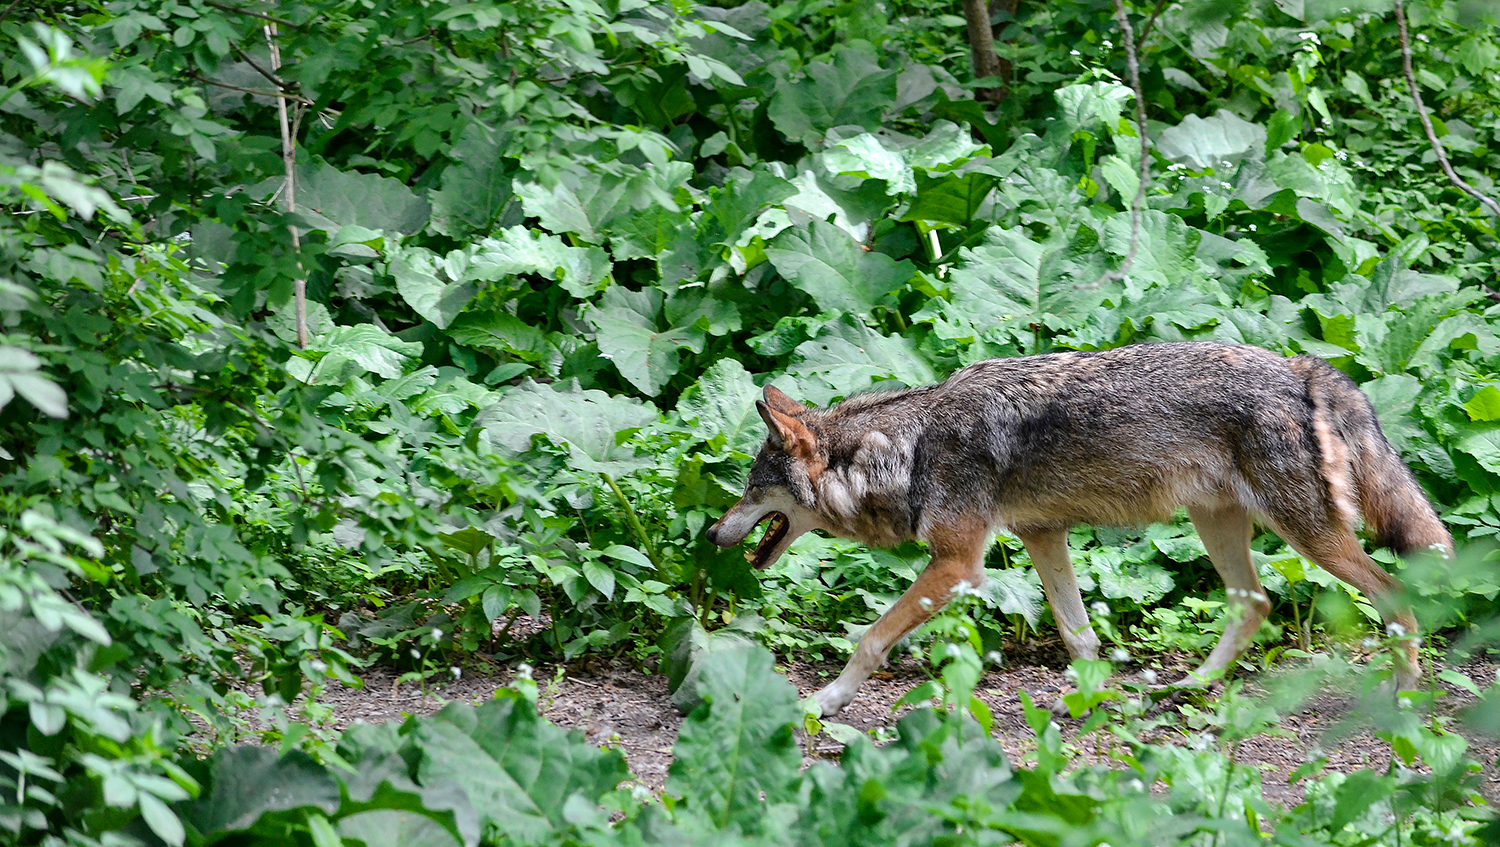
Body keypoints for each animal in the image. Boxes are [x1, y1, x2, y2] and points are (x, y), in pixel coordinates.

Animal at [705, 341, 1452, 713]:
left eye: (751, 490)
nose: (712, 536)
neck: (908, 449)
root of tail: (1302, 367)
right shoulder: (1043, 536)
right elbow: (1078, 633)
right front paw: (1089, 699)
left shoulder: (958, 565)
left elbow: (868, 638)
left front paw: (826, 700)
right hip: (1220, 526)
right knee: (1256, 603)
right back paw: (1186, 689)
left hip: (1309, 535)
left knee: (1392, 592)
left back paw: (1405, 692)